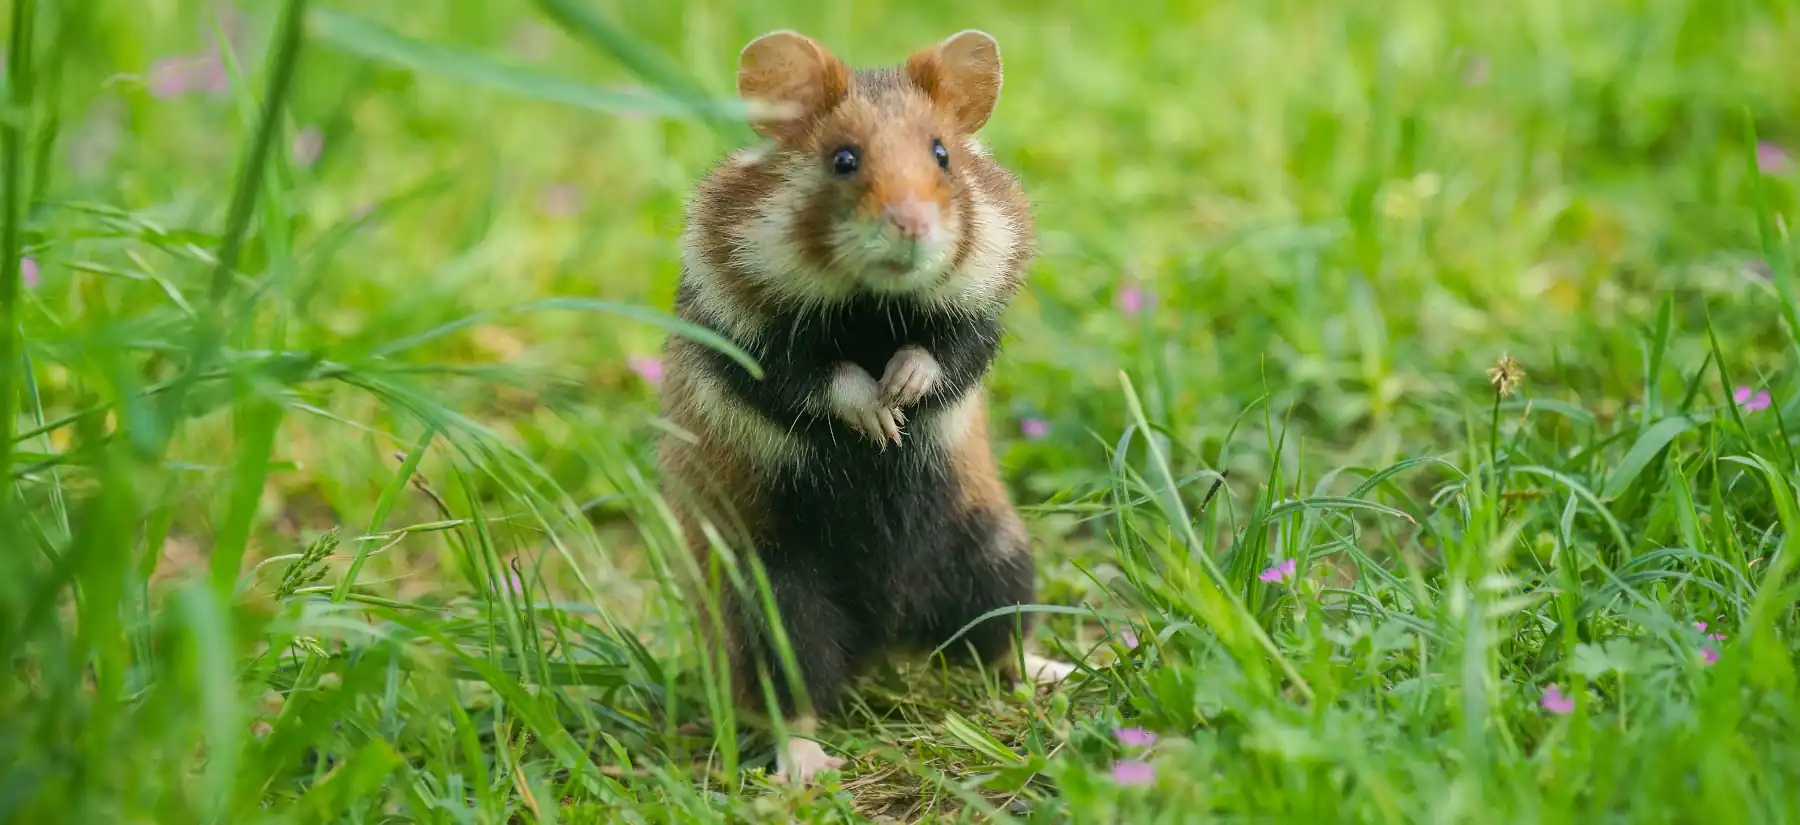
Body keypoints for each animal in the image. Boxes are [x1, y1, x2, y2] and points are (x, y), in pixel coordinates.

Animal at [656, 28, 1074, 786]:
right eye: (843, 160)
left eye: (942, 154)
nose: (911, 227)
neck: (872, 303)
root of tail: (886, 641)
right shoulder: (742, 338)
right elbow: (816, 379)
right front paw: (879, 419)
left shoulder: (980, 318)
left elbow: (945, 353)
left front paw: (901, 395)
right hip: (769, 603)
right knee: (791, 695)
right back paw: (807, 769)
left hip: (995, 549)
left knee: (998, 642)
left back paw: (1066, 668)